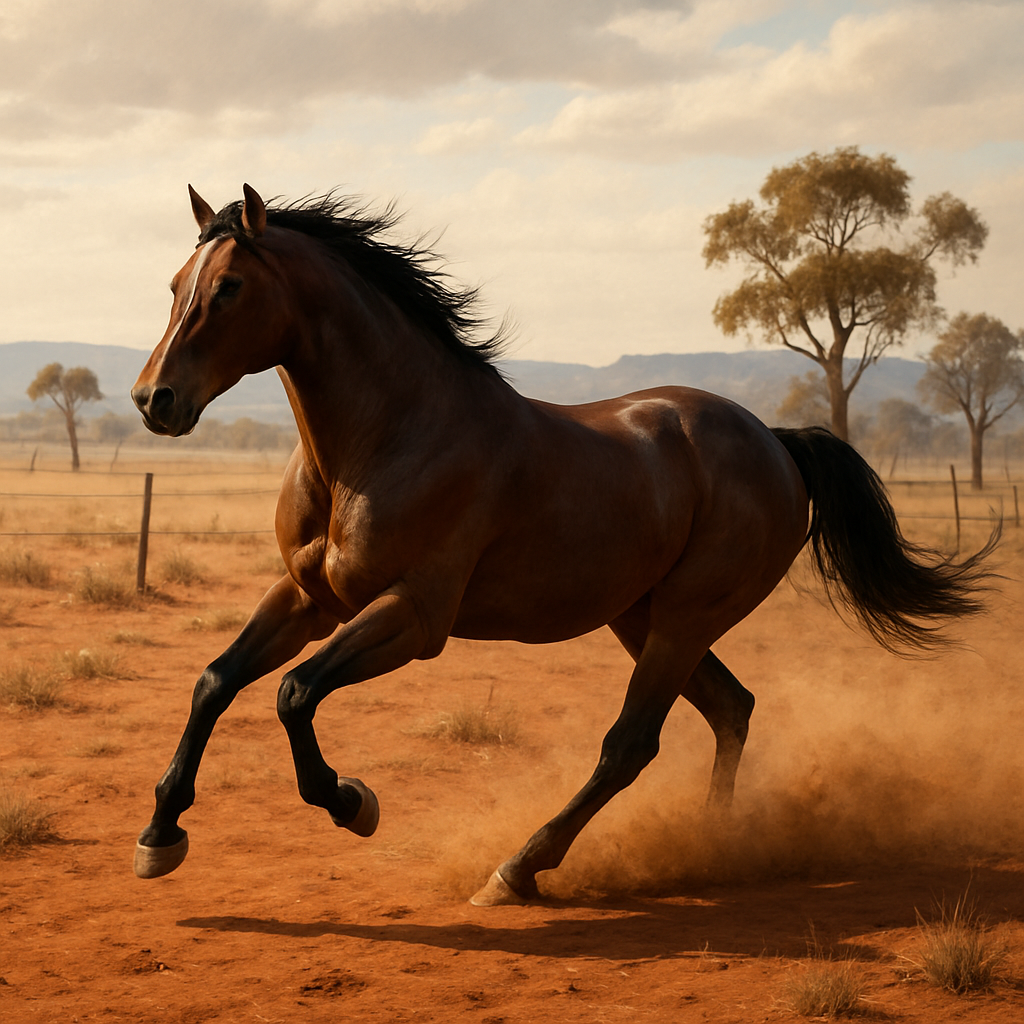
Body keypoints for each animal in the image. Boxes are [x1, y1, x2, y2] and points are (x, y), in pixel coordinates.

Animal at [131, 184, 994, 906]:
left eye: (230, 287)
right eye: (174, 286)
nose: (153, 400)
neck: (385, 439)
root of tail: (776, 444)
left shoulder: (414, 616)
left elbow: (294, 693)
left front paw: (352, 803)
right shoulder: (309, 598)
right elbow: (216, 681)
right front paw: (160, 835)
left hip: (683, 619)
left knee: (631, 744)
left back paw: (518, 869)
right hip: (643, 618)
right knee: (731, 708)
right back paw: (715, 845)